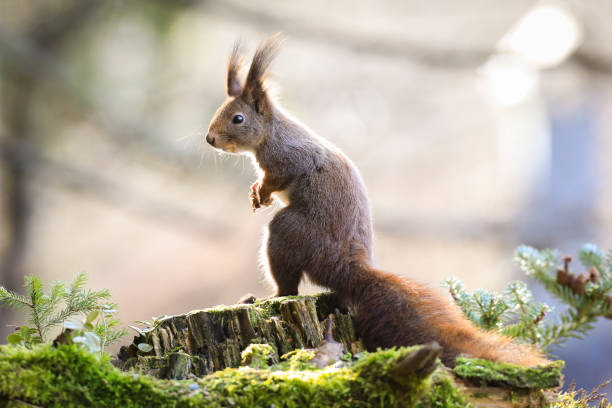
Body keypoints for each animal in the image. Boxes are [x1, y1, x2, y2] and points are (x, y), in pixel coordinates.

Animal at [204, 35, 544, 366]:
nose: (210, 139)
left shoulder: (291, 156)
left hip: (290, 232)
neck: (271, 133)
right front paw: (256, 193)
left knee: (288, 283)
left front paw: (262, 192)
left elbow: (281, 176)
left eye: (237, 119)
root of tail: (347, 268)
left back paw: (267, 296)